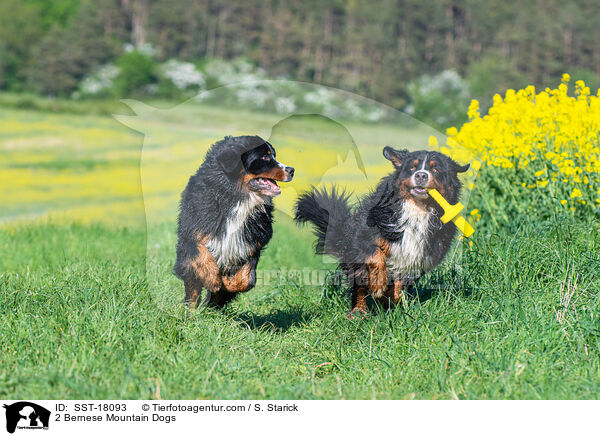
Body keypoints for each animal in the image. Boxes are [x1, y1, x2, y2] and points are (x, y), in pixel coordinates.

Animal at [173, 135, 296, 308]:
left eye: (274, 155)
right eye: (265, 157)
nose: (291, 170)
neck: (238, 198)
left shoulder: (252, 241)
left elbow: (246, 279)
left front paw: (228, 283)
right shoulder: (192, 232)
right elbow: (201, 252)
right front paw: (213, 278)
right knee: (192, 293)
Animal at [296, 146, 468, 316]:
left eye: (435, 169)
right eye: (412, 168)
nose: (420, 175)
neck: (417, 209)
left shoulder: (422, 255)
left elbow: (402, 283)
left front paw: (391, 296)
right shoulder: (365, 236)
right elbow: (375, 256)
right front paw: (379, 284)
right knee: (359, 286)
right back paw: (359, 311)